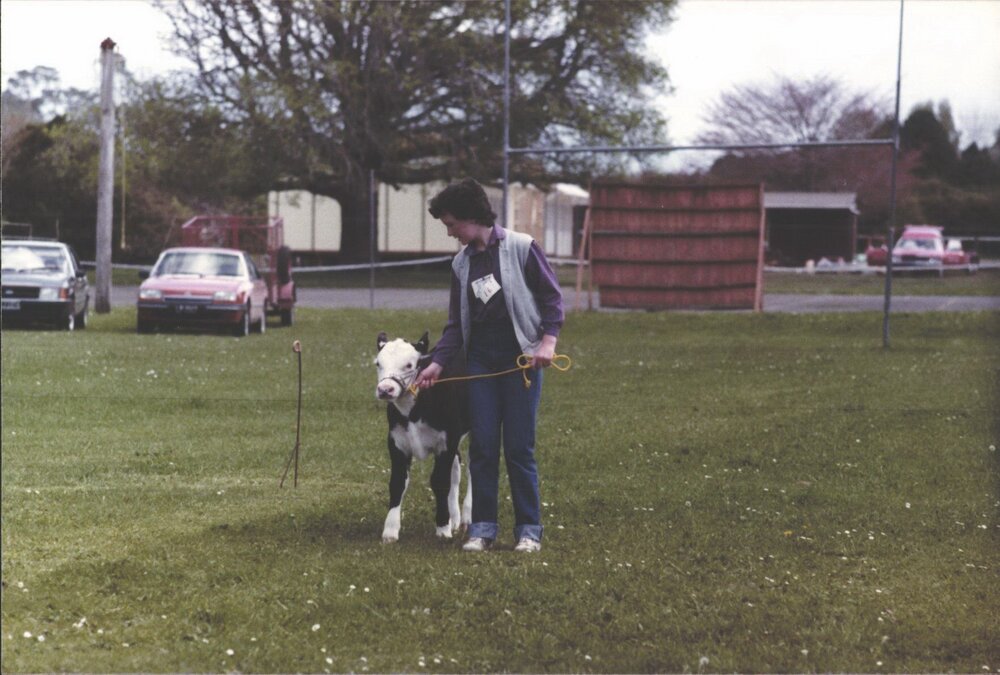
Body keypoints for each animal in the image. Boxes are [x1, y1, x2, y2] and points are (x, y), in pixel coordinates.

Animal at [374, 331, 472, 543]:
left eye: (409, 365)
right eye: (378, 363)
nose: (385, 389)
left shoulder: (446, 442)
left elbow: (439, 481)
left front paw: (443, 528)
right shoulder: (397, 443)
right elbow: (397, 482)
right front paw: (390, 531)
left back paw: (467, 517)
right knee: (456, 468)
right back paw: (455, 518)